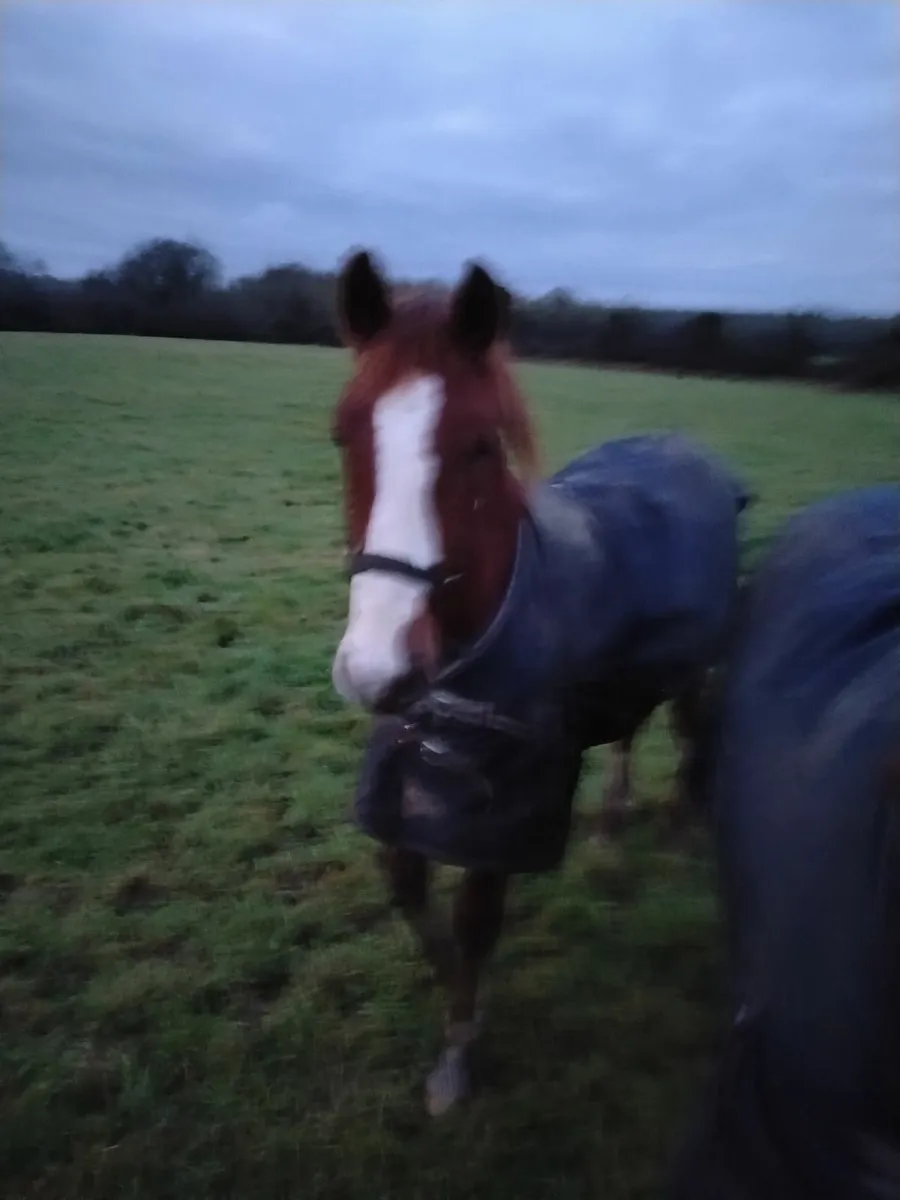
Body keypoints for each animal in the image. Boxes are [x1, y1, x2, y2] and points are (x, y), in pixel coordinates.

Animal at [329, 248, 753, 1115]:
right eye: (343, 433)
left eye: (480, 445)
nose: (377, 668)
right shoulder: (405, 793)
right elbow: (415, 900)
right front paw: (468, 1006)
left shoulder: (506, 812)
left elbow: (474, 919)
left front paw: (460, 1047)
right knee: (628, 730)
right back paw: (612, 825)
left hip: (697, 666)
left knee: (690, 732)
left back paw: (676, 824)